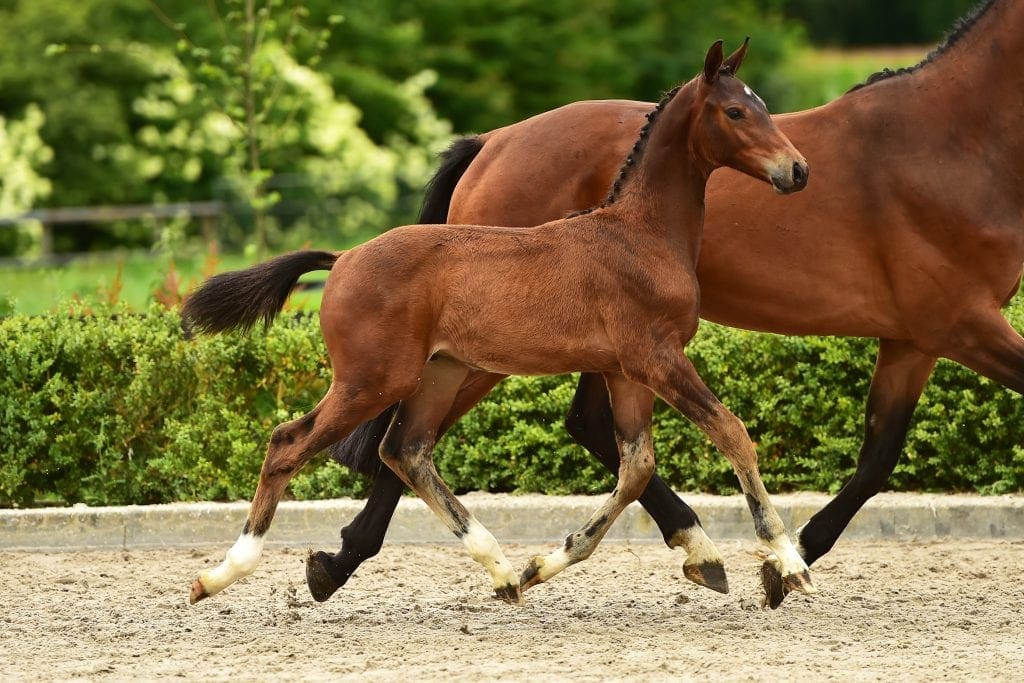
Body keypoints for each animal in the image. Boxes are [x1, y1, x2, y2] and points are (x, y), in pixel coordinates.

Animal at [182, 40, 811, 606]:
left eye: (761, 105)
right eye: (735, 112)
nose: (798, 170)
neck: (639, 233)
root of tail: (342, 259)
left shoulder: (626, 371)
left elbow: (636, 468)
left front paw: (546, 564)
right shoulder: (656, 359)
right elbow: (731, 432)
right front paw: (788, 564)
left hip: (438, 372)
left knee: (406, 450)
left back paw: (502, 570)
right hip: (374, 380)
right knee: (290, 443)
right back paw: (219, 575)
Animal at [313, 0, 1023, 608]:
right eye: (736, 113)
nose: (797, 172)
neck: (952, 141)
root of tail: (490, 142)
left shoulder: (914, 338)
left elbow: (877, 455)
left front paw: (786, 560)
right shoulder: (962, 324)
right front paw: (784, 561)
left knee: (525, 432)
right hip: (492, 350)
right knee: (411, 436)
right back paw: (343, 561)